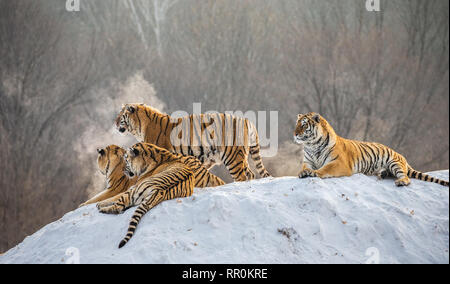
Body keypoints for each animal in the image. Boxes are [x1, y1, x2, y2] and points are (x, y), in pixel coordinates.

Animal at [97, 143, 225, 247]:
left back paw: (102, 209)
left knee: (118, 207)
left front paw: (99, 203)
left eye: (126, 159)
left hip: (134, 190)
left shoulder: (132, 186)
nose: (123, 169)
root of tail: (158, 191)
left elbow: (113, 197)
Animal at [115, 103, 270, 181]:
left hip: (233, 157)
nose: (115, 124)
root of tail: (246, 120)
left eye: (120, 116)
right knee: (250, 174)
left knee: (242, 176)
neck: (140, 127)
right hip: (240, 156)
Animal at [294, 112, 448, 187]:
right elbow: (304, 168)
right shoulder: (308, 161)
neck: (312, 145)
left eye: (304, 125)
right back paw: (382, 174)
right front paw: (303, 173)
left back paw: (401, 182)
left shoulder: (339, 163)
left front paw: (314, 173)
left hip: (394, 163)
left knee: (406, 177)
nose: (294, 134)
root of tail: (402, 157)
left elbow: (325, 169)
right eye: (297, 124)